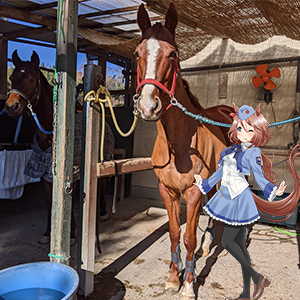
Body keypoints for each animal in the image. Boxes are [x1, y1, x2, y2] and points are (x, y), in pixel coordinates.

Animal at [4, 50, 78, 245]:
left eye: (31, 79)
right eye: (12, 77)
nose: (11, 107)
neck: (51, 135)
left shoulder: (72, 174)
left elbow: (70, 199)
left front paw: (71, 235)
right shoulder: (45, 174)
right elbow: (50, 202)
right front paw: (47, 233)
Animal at [135, 2, 234, 300]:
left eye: (173, 53)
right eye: (137, 53)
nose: (148, 106)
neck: (177, 145)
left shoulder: (192, 193)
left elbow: (188, 237)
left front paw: (189, 284)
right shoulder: (167, 191)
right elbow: (174, 234)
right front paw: (172, 278)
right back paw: (209, 242)